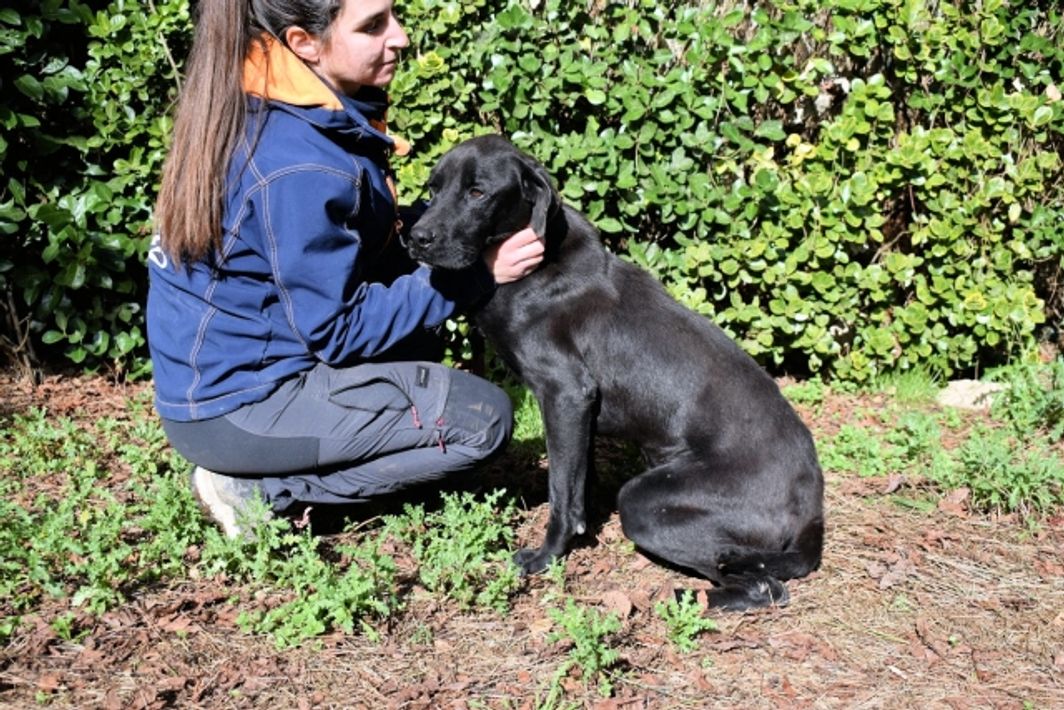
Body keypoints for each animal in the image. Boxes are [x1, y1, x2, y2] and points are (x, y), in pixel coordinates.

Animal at [406, 135, 824, 610]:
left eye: (477, 193)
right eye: (433, 189)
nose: (415, 238)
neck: (539, 263)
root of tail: (812, 513)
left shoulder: (565, 393)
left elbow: (561, 493)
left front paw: (546, 557)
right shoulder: (580, 412)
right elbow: (578, 483)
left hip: (646, 504)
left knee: (764, 585)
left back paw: (684, 598)